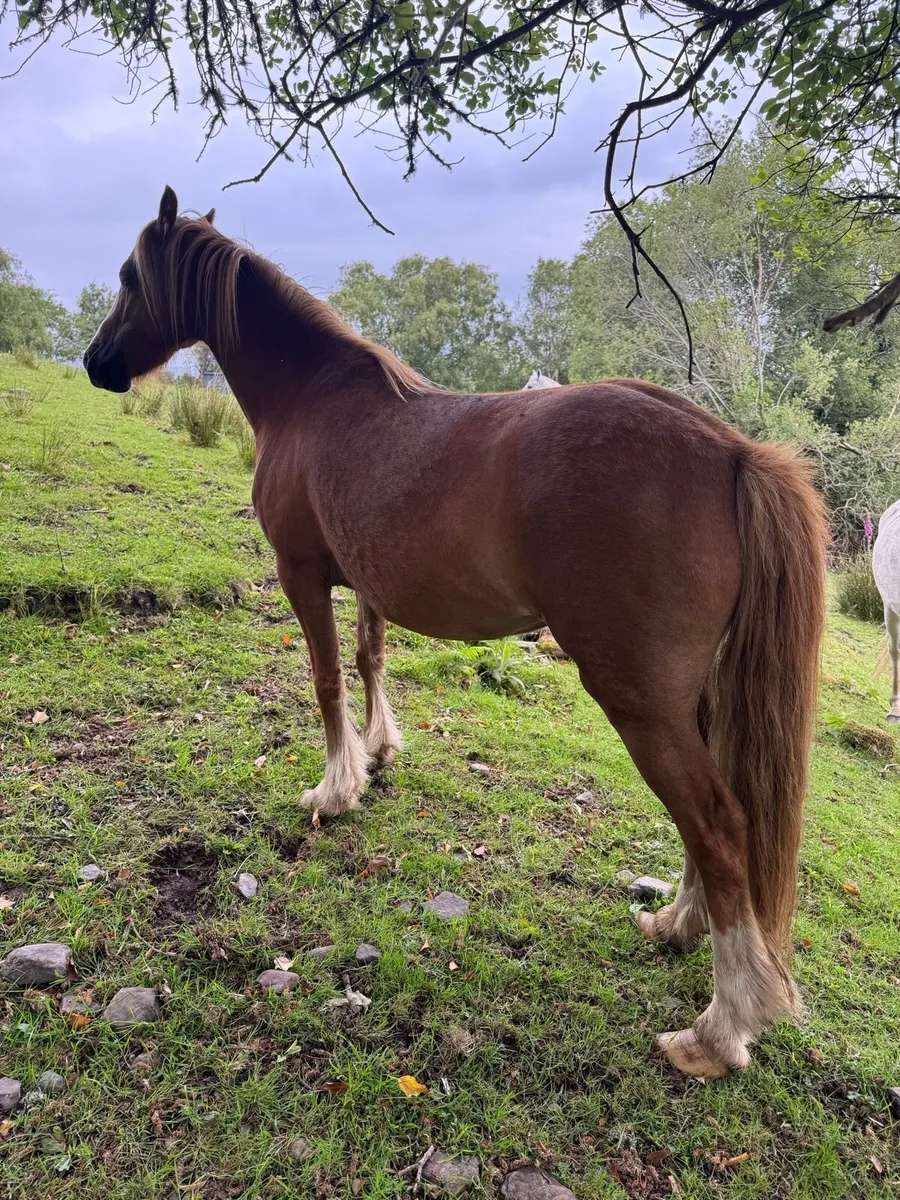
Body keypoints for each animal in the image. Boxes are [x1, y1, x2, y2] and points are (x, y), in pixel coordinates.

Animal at [84, 187, 827, 1081]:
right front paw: (377, 754)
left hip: (641, 702)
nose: (94, 363)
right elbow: (368, 659)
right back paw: (677, 926)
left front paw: (334, 790)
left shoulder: (301, 575)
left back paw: (719, 1030)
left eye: (129, 277)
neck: (311, 396)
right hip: (695, 702)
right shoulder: (366, 583)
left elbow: (326, 681)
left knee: (717, 826)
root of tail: (732, 450)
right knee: (711, 822)